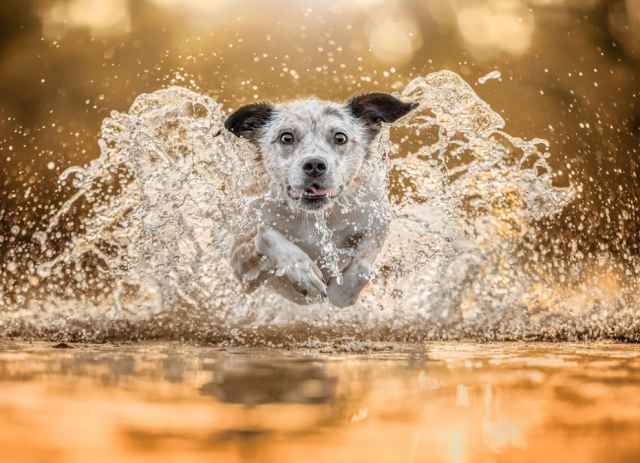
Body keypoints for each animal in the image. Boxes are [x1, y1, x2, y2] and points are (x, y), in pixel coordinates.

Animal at [224, 92, 416, 306]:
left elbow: (363, 264)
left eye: (340, 137)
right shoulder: (242, 268)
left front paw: (341, 294)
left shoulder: (377, 220)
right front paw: (302, 271)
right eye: (286, 137)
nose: (314, 165)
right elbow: (265, 233)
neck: (315, 217)